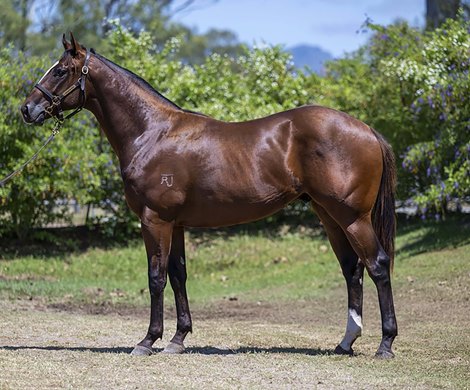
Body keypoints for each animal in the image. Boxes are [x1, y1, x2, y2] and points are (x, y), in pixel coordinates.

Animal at [22, 35, 396, 358]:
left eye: (60, 70)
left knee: (377, 265)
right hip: (328, 215)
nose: (27, 109)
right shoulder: (174, 224)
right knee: (352, 269)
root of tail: (367, 130)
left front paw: (147, 341)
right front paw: (177, 339)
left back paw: (385, 344)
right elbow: (178, 276)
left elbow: (156, 278)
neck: (152, 133)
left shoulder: (154, 220)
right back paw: (346, 342)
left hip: (352, 218)